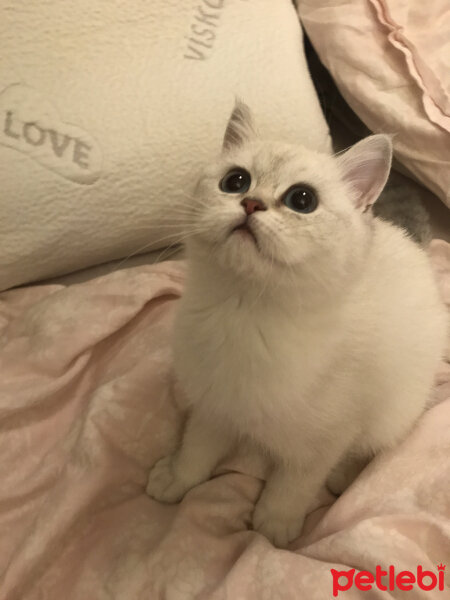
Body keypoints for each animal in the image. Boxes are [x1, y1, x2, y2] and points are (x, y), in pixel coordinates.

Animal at [147, 103, 446, 548]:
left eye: (302, 200)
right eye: (235, 181)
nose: (251, 203)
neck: (246, 314)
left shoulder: (325, 438)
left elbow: (295, 483)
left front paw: (274, 523)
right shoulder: (215, 405)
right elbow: (197, 447)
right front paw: (177, 478)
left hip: (395, 406)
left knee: (368, 447)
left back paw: (342, 477)